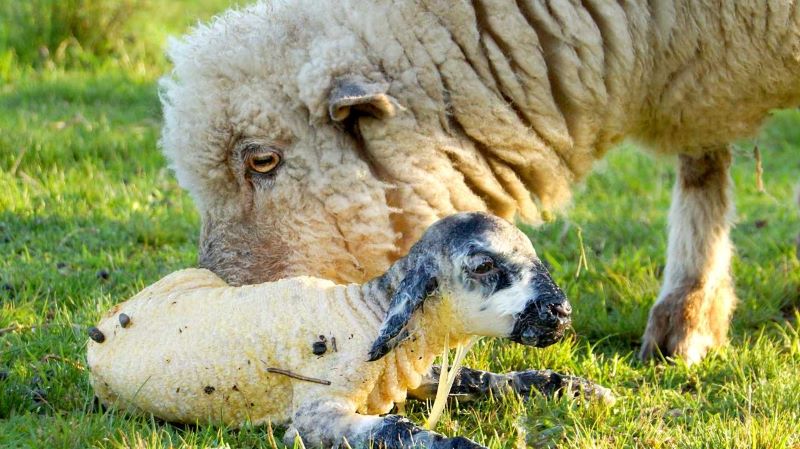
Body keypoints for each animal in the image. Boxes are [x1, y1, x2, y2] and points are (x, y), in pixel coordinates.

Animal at [87, 214, 604, 448]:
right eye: (483, 265)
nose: (560, 312)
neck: (366, 314)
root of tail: (113, 315)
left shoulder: (409, 370)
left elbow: (479, 378)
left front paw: (575, 387)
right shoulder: (315, 417)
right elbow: (400, 430)